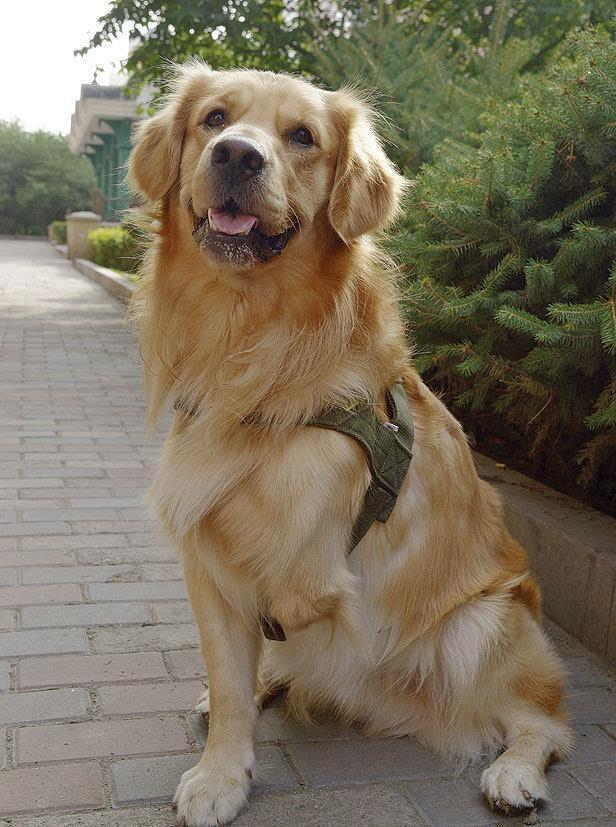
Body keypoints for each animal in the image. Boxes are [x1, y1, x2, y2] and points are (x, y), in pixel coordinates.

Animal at [128, 63, 572, 827]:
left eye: (302, 136)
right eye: (215, 119)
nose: (237, 155)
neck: (248, 336)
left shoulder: (309, 562)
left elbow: (293, 612)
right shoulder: (206, 554)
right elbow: (232, 677)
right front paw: (222, 771)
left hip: (483, 621)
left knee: (541, 718)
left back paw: (514, 773)